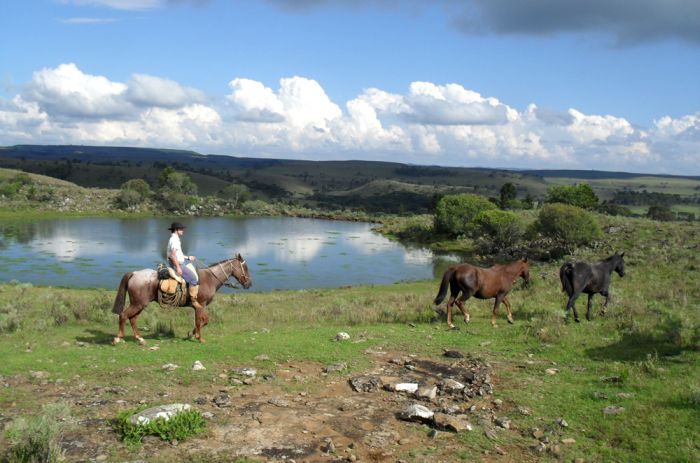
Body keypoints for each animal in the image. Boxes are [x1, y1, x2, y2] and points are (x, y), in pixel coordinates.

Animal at [109, 254, 252, 344]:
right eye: (245, 268)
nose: (249, 284)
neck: (210, 278)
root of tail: (134, 274)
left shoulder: (198, 307)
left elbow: (199, 322)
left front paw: (191, 334)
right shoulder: (201, 304)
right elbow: (202, 321)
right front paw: (199, 338)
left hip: (140, 304)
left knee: (132, 319)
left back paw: (140, 339)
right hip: (138, 304)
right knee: (123, 316)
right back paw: (118, 338)